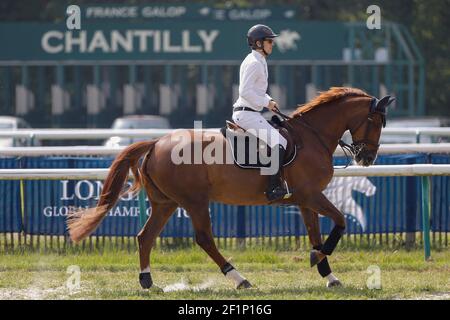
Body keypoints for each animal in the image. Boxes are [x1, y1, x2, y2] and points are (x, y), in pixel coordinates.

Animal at [67, 87, 394, 290]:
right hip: (194, 202)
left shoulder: (305, 200)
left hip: (165, 203)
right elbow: (339, 222)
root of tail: (157, 142)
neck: (313, 136)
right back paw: (238, 279)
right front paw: (319, 259)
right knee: (204, 239)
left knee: (145, 237)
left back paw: (147, 281)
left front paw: (328, 275)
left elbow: (315, 233)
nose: (367, 158)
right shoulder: (312, 195)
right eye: (377, 122)